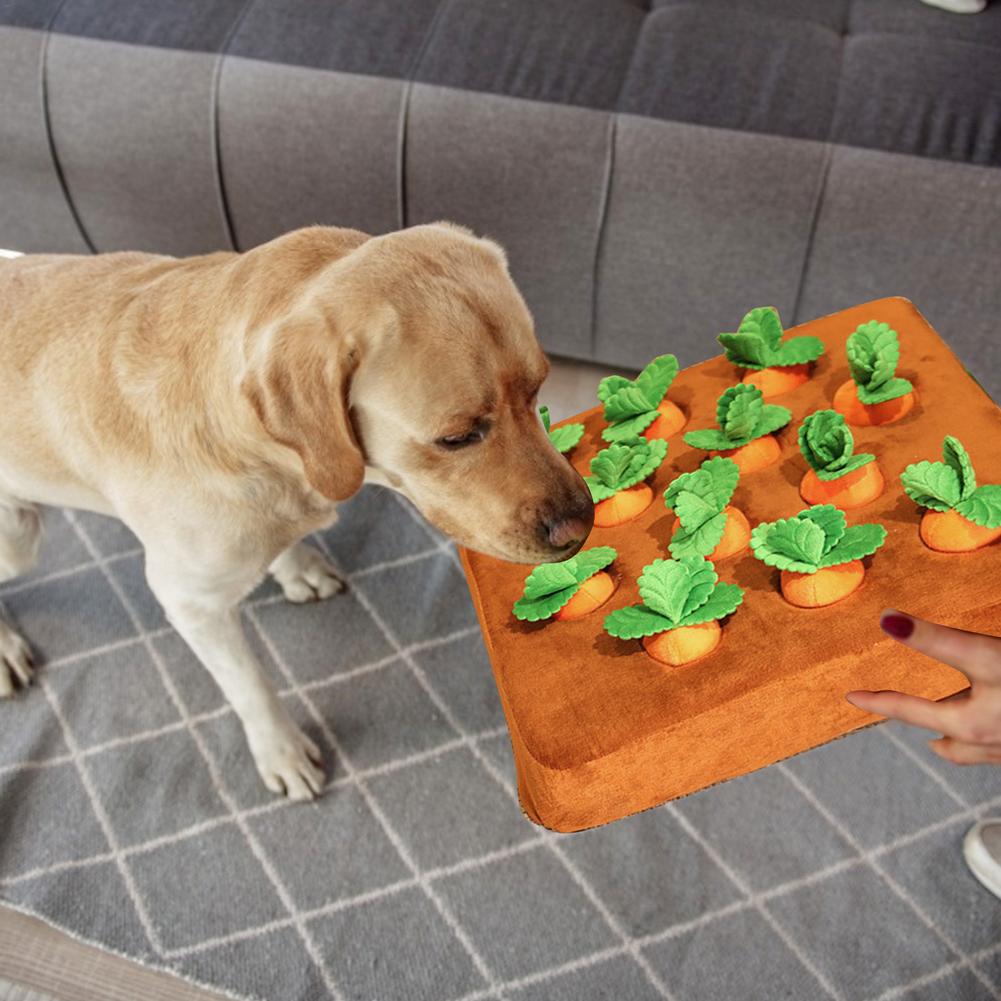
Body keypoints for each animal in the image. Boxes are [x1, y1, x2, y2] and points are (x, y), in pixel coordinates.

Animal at [0, 225, 592, 796]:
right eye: (457, 437)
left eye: (538, 390)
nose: (582, 524)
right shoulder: (189, 601)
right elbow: (250, 686)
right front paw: (280, 752)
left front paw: (296, 567)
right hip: (19, 537)